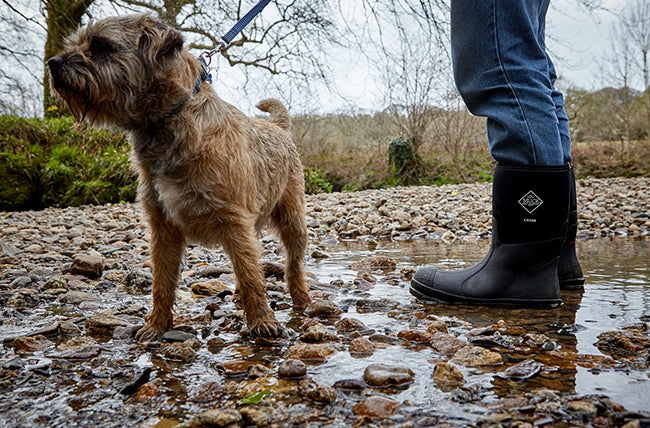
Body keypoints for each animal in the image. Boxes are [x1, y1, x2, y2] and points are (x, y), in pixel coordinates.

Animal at [46, 14, 310, 342]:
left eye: (101, 46)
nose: (52, 62)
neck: (170, 122)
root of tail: (278, 126)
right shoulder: (164, 230)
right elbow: (162, 282)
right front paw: (157, 325)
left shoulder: (235, 222)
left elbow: (251, 275)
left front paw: (261, 321)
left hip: (293, 223)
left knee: (291, 266)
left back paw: (302, 300)